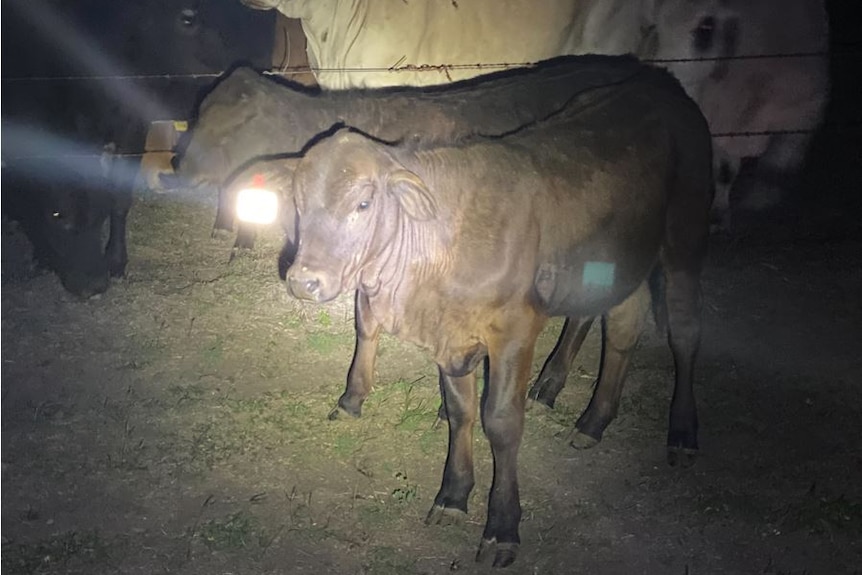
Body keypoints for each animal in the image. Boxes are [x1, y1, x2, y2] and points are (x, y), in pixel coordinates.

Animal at [0, 0, 276, 296]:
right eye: (56, 214)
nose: (94, 285)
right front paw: (40, 258)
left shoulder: (131, 125)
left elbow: (120, 197)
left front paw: (116, 262)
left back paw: (243, 241)